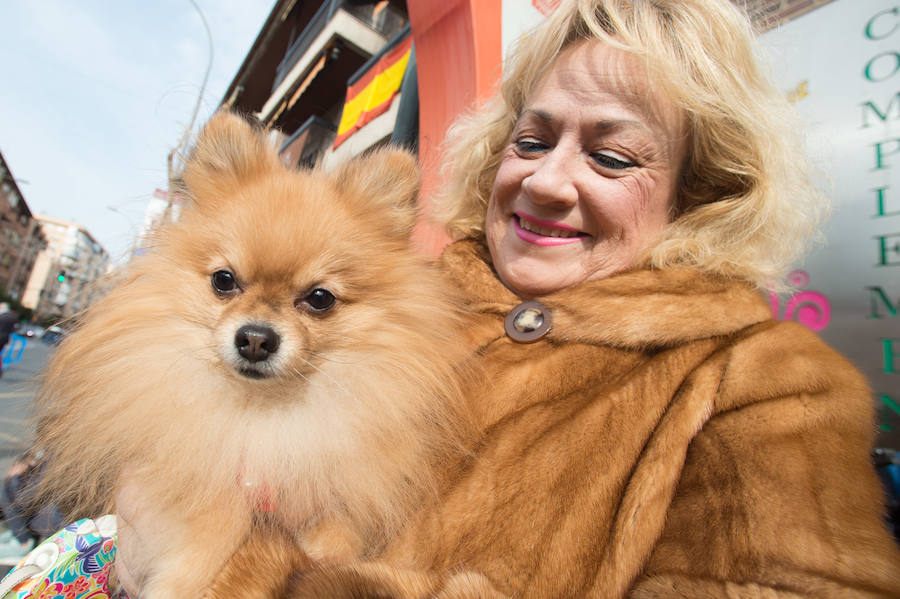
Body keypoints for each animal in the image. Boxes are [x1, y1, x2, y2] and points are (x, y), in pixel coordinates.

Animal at [31, 112, 474, 599]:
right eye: (224, 280)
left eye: (320, 298)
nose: (257, 338)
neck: (263, 415)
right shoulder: (194, 468)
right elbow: (217, 522)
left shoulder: (341, 489)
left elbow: (334, 543)